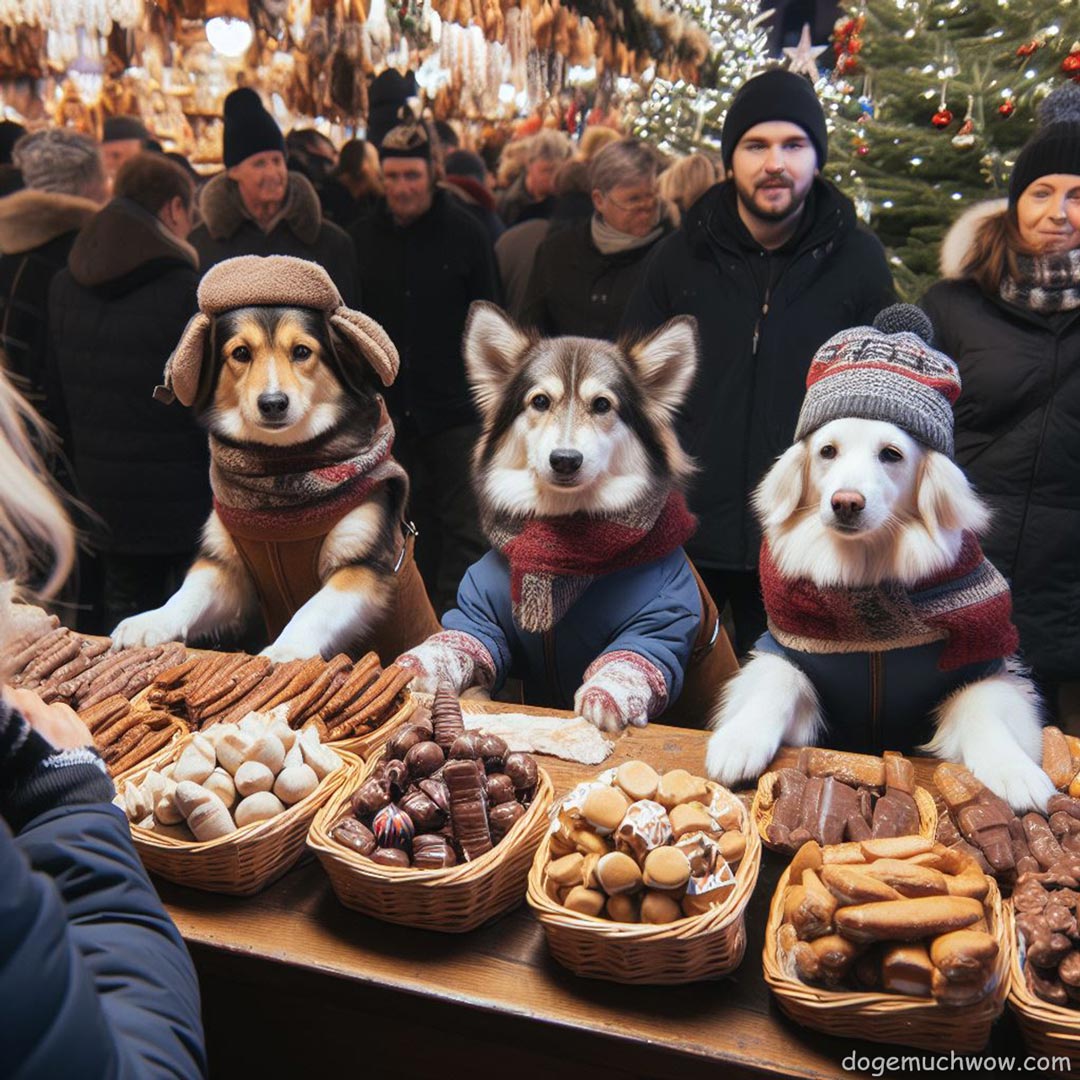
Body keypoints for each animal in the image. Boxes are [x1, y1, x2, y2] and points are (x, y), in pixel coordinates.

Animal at [112, 254, 438, 656]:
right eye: (240, 353)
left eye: (301, 351)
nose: (272, 404)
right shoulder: (226, 569)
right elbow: (186, 596)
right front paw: (150, 622)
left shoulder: (360, 564)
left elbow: (312, 610)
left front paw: (286, 649)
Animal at [399, 300, 743, 730]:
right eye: (540, 401)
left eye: (602, 405)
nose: (564, 460)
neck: (561, 543)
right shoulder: (480, 617)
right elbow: (459, 643)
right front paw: (415, 664)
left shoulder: (658, 623)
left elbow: (629, 662)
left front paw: (606, 695)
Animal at [704, 304, 1049, 812]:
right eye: (827, 451)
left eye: (891, 454)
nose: (846, 503)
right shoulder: (785, 654)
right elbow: (775, 683)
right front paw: (738, 740)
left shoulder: (988, 670)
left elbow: (985, 713)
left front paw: (1015, 771)